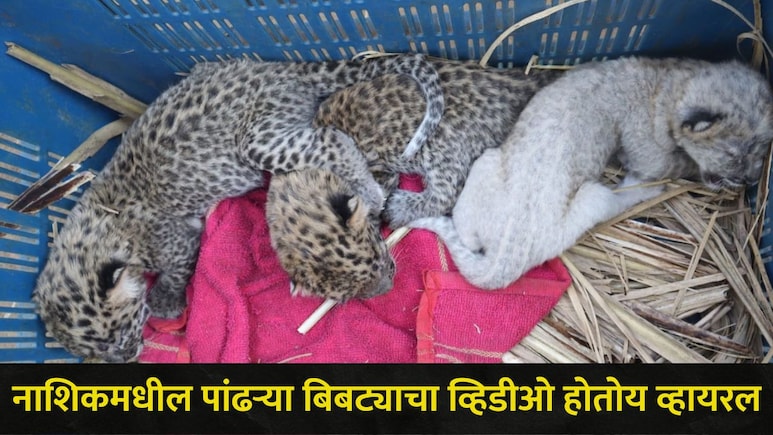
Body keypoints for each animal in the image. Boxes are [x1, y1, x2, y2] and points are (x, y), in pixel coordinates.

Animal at [31, 53, 445, 362]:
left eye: (116, 335)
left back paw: (369, 190)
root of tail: (278, 69)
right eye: (101, 348)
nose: (129, 356)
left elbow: (174, 273)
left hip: (261, 137)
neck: (101, 224)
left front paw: (166, 304)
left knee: (332, 139)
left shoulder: (177, 240)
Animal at [265, 59, 558, 300]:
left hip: (441, 144)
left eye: (378, 255)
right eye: (347, 298)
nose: (388, 289)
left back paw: (400, 207)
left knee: (447, 191)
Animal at [411, 57, 773, 290]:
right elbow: (673, 164)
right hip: (593, 195)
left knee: (466, 235)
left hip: (485, 164)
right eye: (734, 154)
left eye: (762, 148)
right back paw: (643, 191)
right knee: (617, 197)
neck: (671, 82)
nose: (751, 181)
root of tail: (505, 255)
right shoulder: (647, 150)